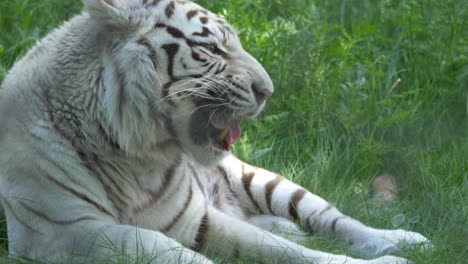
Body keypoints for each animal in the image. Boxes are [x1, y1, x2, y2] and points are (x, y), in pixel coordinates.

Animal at [0, 0, 430, 262]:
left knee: (338, 220)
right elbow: (163, 246)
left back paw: (401, 239)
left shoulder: (193, 219)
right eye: (213, 50)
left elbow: (277, 248)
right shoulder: (67, 231)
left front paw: (391, 258)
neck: (136, 154)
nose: (268, 91)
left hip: (269, 181)